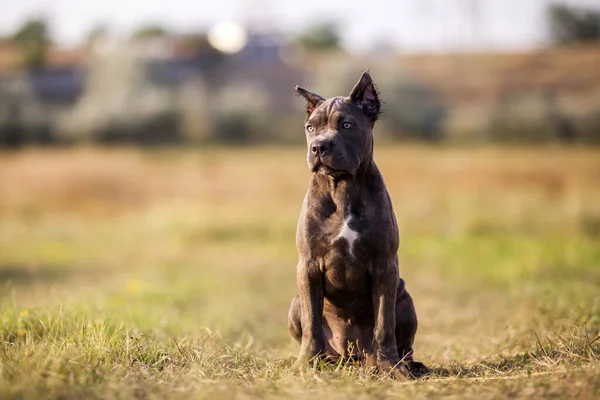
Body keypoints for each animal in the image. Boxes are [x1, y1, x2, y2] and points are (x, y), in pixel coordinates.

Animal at [288, 71, 428, 378]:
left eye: (347, 125)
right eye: (310, 127)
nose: (318, 147)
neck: (342, 187)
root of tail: (352, 357)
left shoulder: (385, 265)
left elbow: (384, 325)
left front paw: (391, 368)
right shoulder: (308, 265)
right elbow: (312, 325)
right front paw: (305, 365)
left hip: (406, 301)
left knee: (405, 344)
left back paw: (408, 365)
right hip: (294, 303)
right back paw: (323, 360)